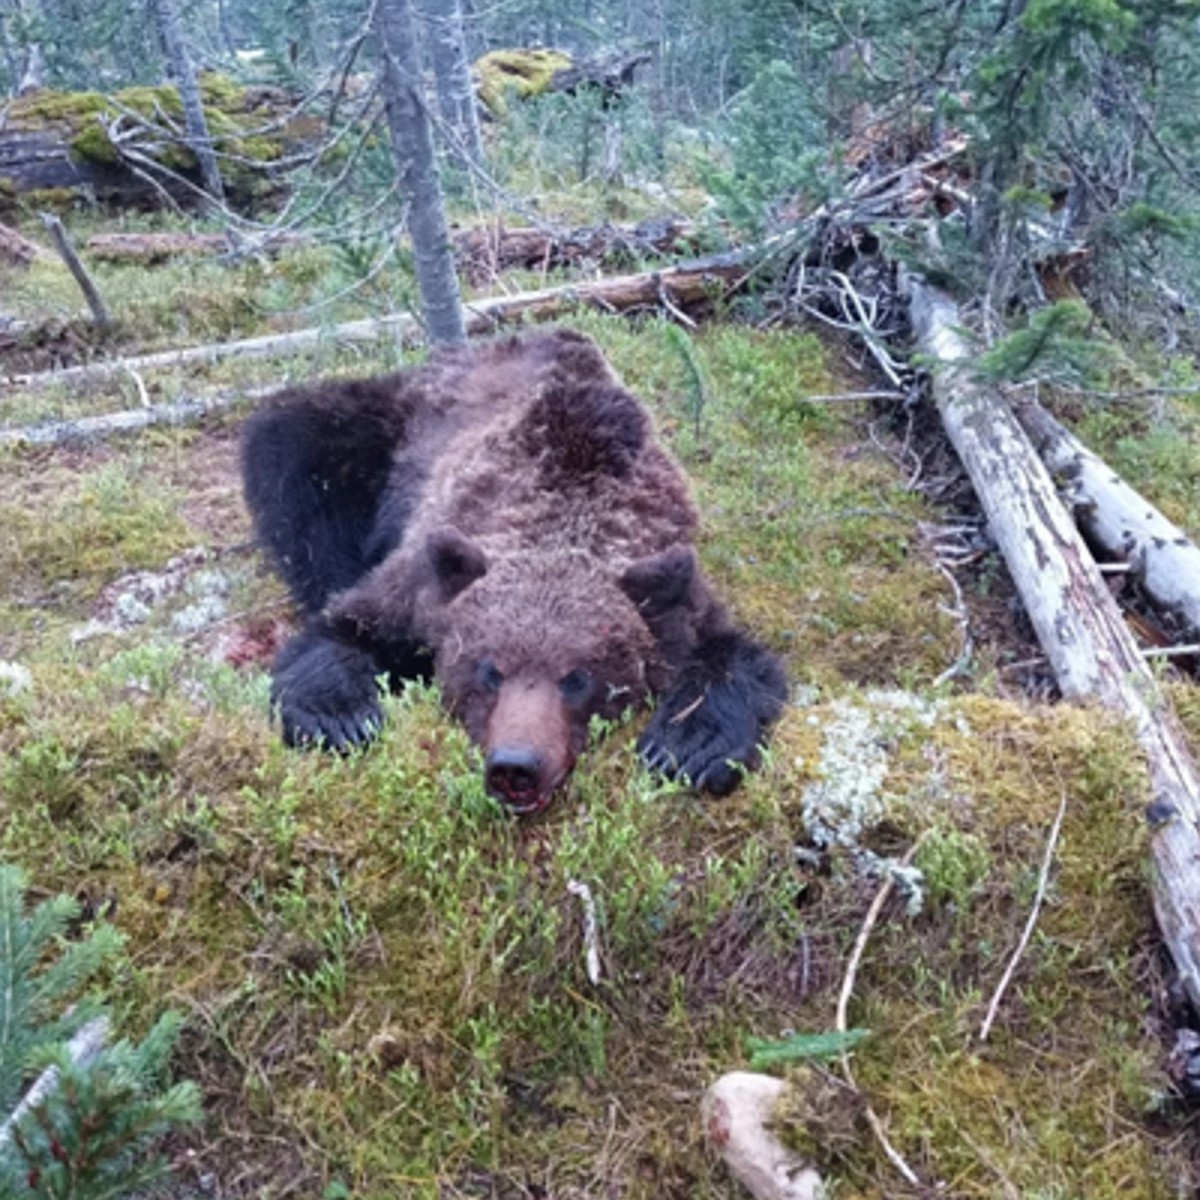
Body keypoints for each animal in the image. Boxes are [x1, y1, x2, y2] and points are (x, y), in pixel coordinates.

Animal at [241, 326, 787, 816]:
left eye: (578, 677)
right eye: (489, 669)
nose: (516, 766)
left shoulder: (675, 585)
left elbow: (734, 657)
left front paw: (689, 746)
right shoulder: (423, 581)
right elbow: (343, 627)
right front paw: (341, 717)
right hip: (383, 429)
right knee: (295, 448)